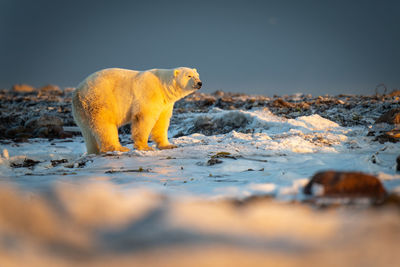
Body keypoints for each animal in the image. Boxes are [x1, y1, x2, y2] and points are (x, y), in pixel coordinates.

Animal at [71, 67, 202, 155]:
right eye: (189, 76)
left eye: (197, 75)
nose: (199, 83)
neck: (163, 85)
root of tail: (77, 91)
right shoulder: (149, 94)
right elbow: (144, 118)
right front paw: (145, 147)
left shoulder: (165, 103)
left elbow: (161, 122)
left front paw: (168, 145)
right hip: (100, 100)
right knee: (104, 125)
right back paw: (119, 148)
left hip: (82, 110)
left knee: (88, 132)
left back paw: (93, 151)